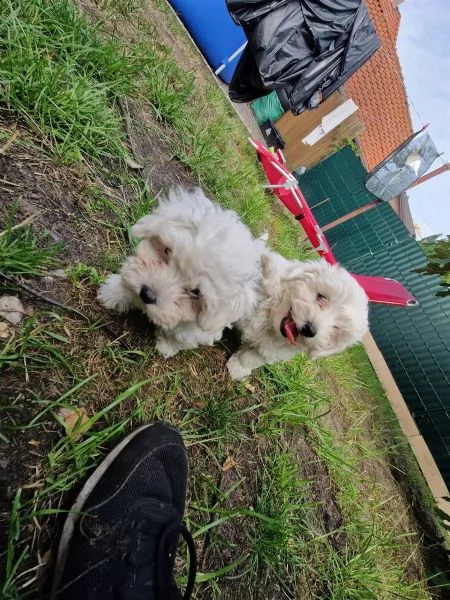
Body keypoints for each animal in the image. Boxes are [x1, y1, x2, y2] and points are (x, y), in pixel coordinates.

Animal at [96, 188, 262, 356]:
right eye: (167, 251)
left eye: (196, 292)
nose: (147, 294)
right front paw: (113, 293)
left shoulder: (198, 331)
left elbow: (181, 337)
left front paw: (167, 346)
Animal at [227, 253, 368, 380]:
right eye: (321, 297)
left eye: (336, 328)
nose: (309, 330)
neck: (271, 321)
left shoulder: (272, 351)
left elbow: (250, 359)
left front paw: (237, 368)